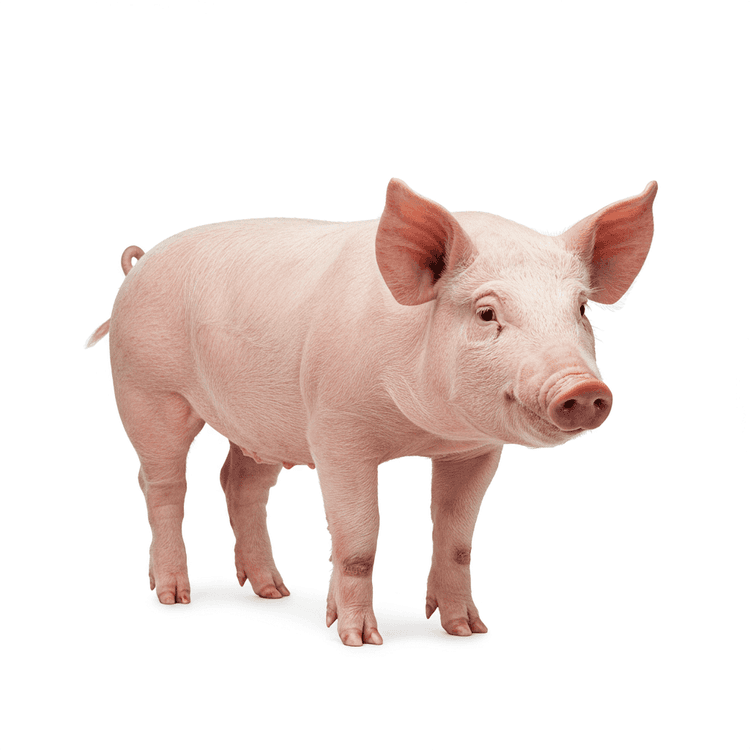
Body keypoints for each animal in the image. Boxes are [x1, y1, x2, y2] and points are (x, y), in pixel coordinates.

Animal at [88, 178, 657, 646]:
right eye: (486, 312)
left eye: (580, 308)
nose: (582, 387)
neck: (423, 432)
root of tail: (140, 263)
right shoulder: (335, 432)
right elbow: (358, 539)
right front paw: (359, 640)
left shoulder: (475, 450)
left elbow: (457, 541)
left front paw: (466, 631)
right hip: (146, 390)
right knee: (162, 484)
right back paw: (174, 596)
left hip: (263, 422)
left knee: (239, 483)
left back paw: (273, 592)